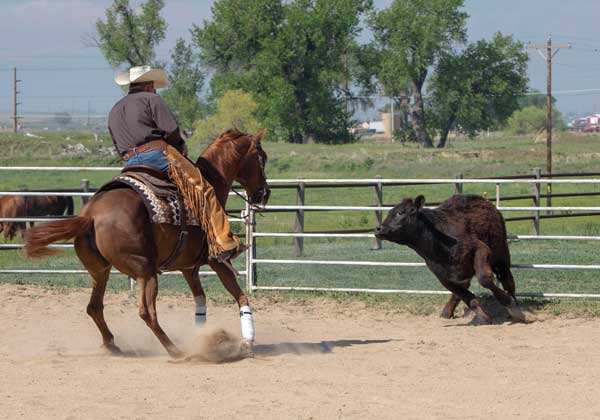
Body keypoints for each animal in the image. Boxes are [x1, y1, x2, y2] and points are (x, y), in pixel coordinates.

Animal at [22, 129, 268, 358]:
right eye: (262, 158)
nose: (264, 193)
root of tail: (90, 216)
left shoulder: (189, 267)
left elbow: (201, 301)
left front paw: (202, 337)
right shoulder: (216, 261)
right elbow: (240, 296)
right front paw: (247, 344)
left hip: (101, 271)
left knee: (94, 307)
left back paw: (112, 344)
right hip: (145, 271)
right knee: (147, 313)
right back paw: (175, 350)